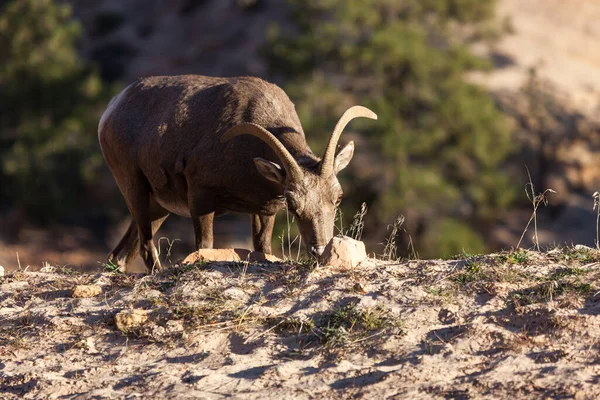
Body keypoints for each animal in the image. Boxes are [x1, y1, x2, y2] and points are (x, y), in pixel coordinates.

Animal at [99, 74, 376, 272]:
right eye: (292, 204)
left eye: (338, 198)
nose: (320, 251)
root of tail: (111, 109)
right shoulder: (201, 199)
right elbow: (204, 247)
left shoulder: (264, 212)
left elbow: (263, 248)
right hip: (134, 189)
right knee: (146, 247)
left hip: (159, 208)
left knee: (121, 255)